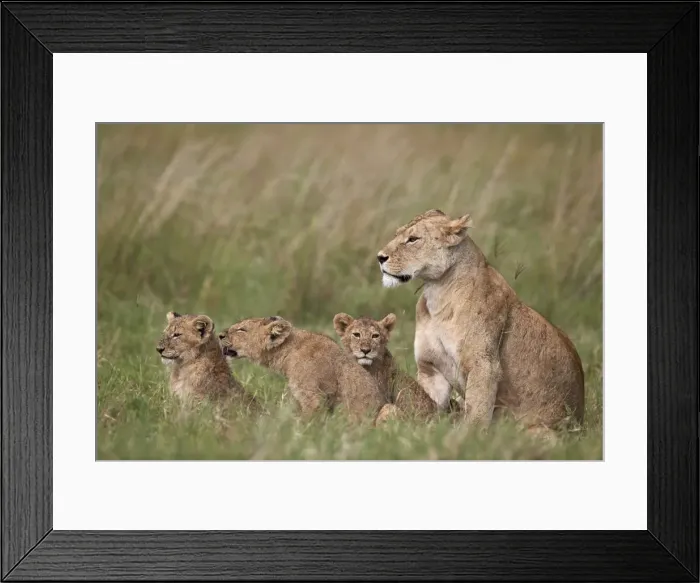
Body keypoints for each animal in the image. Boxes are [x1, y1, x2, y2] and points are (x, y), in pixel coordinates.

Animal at [376, 209, 585, 432]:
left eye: (413, 239)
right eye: (397, 234)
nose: (380, 257)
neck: (437, 294)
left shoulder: (484, 366)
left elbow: (476, 413)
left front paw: (468, 437)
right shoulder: (430, 368)